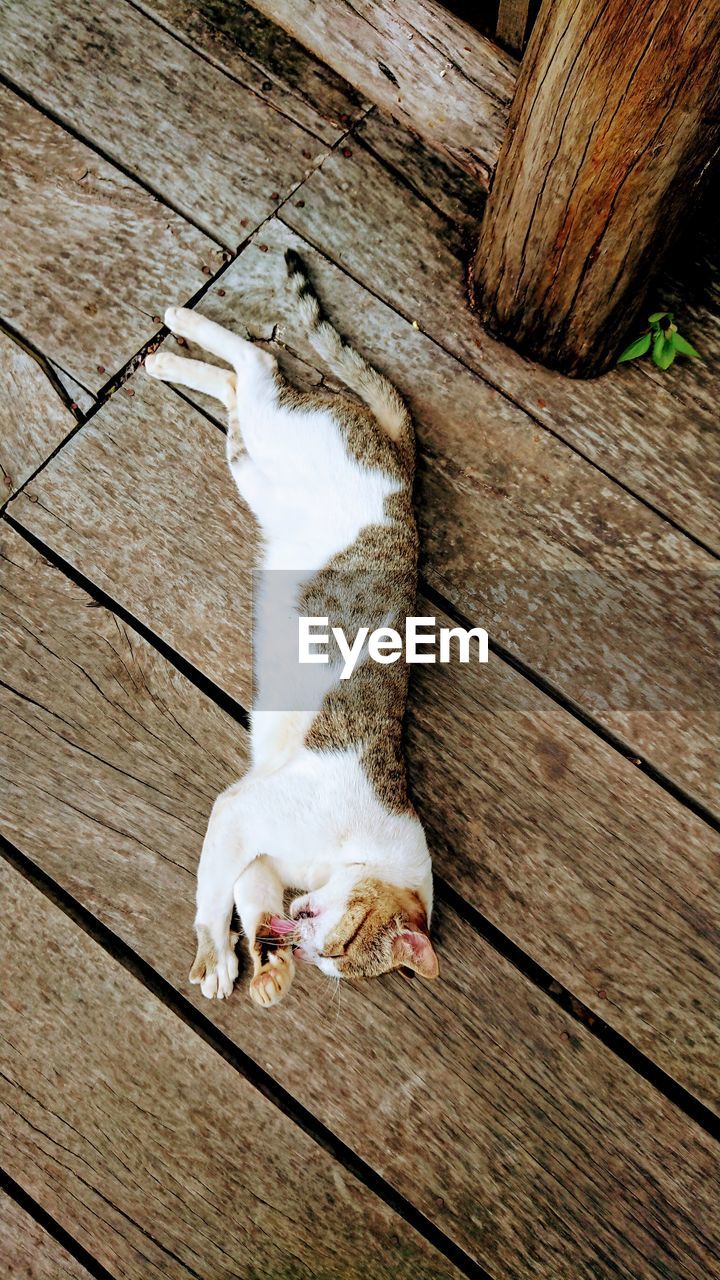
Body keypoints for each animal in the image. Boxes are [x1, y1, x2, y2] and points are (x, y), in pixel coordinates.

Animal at [143, 249, 435, 1003]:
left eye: (332, 959)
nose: (306, 946)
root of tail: (402, 464)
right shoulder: (244, 811)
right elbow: (212, 895)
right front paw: (216, 954)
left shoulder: (258, 844)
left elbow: (247, 892)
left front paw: (266, 964)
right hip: (284, 428)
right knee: (258, 362)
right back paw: (181, 324)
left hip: (253, 464)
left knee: (234, 389)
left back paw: (169, 361)